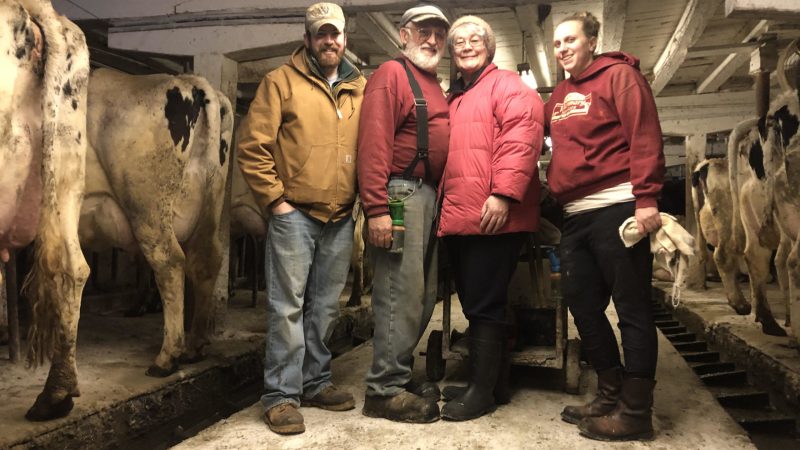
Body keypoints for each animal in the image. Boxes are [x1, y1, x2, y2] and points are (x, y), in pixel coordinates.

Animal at [79, 67, 234, 384]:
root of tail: (189, 81)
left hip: (147, 206)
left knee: (169, 261)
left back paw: (166, 358)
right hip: (210, 207)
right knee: (207, 261)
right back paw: (195, 346)